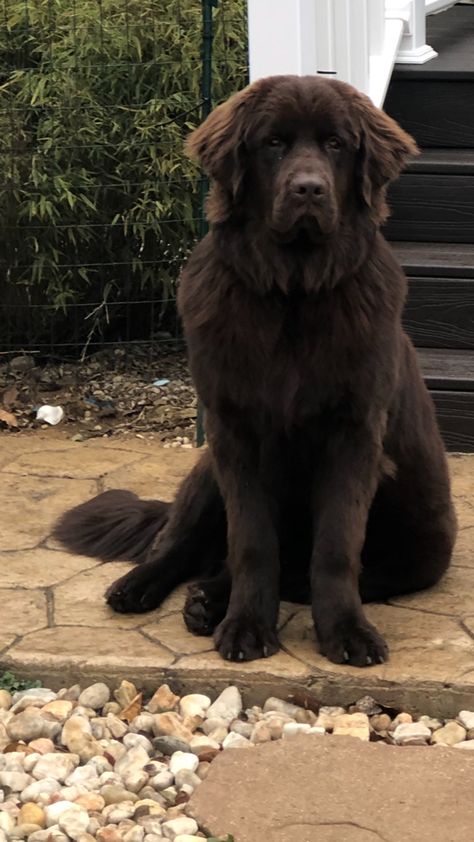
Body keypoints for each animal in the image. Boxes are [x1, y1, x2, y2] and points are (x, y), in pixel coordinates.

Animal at [53, 79, 458, 668]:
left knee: (290, 571)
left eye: (336, 144)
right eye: (273, 143)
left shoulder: (354, 434)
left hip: (420, 550)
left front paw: (347, 633)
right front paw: (246, 627)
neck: (292, 290)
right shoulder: (233, 431)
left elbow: (335, 547)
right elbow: (251, 541)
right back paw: (147, 588)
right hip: (206, 470)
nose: (309, 190)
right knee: (180, 545)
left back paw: (208, 601)